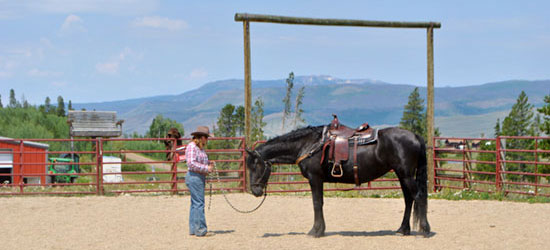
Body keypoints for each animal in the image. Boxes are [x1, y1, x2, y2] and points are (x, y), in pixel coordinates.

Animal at [248, 126, 434, 237]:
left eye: (254, 166)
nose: (255, 191)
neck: (309, 145)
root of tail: (414, 135)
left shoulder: (315, 179)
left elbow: (316, 203)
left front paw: (315, 231)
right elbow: (320, 203)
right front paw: (320, 229)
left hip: (406, 175)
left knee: (418, 197)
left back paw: (425, 229)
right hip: (402, 175)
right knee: (408, 200)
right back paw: (403, 229)